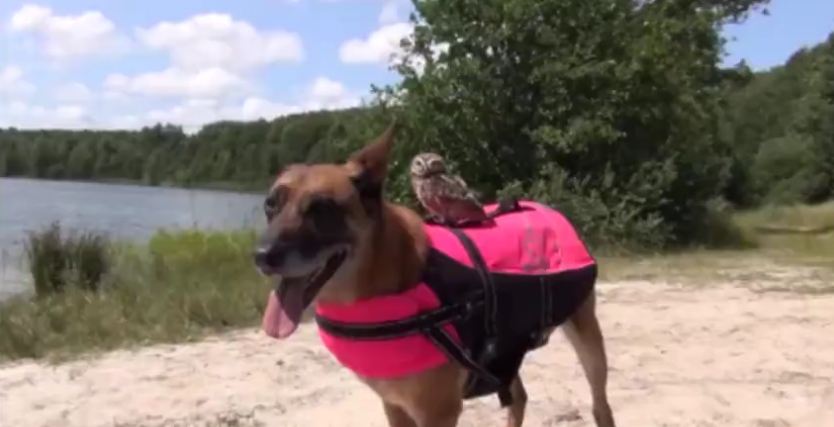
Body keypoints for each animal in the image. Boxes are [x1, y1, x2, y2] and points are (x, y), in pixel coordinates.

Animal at [252, 123, 612, 427]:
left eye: (322, 209)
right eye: (270, 204)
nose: (261, 256)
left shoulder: (438, 411)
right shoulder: (394, 406)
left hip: (588, 341)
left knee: (600, 405)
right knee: (519, 397)